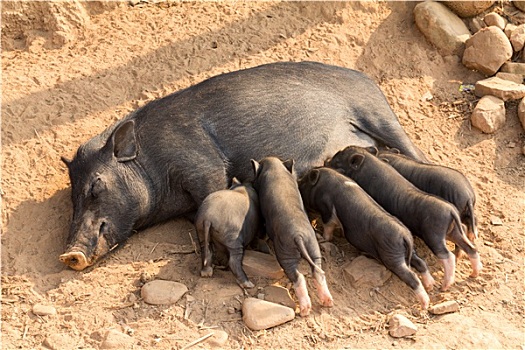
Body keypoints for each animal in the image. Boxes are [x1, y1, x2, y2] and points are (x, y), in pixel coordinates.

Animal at [253, 157, 334, 316]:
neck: (276, 168)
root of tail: (299, 236)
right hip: (313, 247)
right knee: (318, 272)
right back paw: (328, 302)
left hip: (285, 253)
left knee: (298, 276)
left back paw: (304, 310)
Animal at [296, 168, 432, 308]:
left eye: (304, 181)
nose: (298, 182)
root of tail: (405, 235)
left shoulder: (327, 210)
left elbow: (328, 227)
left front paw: (321, 237)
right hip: (406, 252)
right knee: (421, 262)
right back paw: (431, 285)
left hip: (392, 256)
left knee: (412, 276)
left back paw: (425, 304)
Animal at [326, 146, 482, 290]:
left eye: (337, 160)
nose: (326, 161)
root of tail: (451, 210)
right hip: (453, 231)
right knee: (470, 247)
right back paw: (474, 274)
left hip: (434, 235)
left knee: (447, 255)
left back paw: (444, 286)